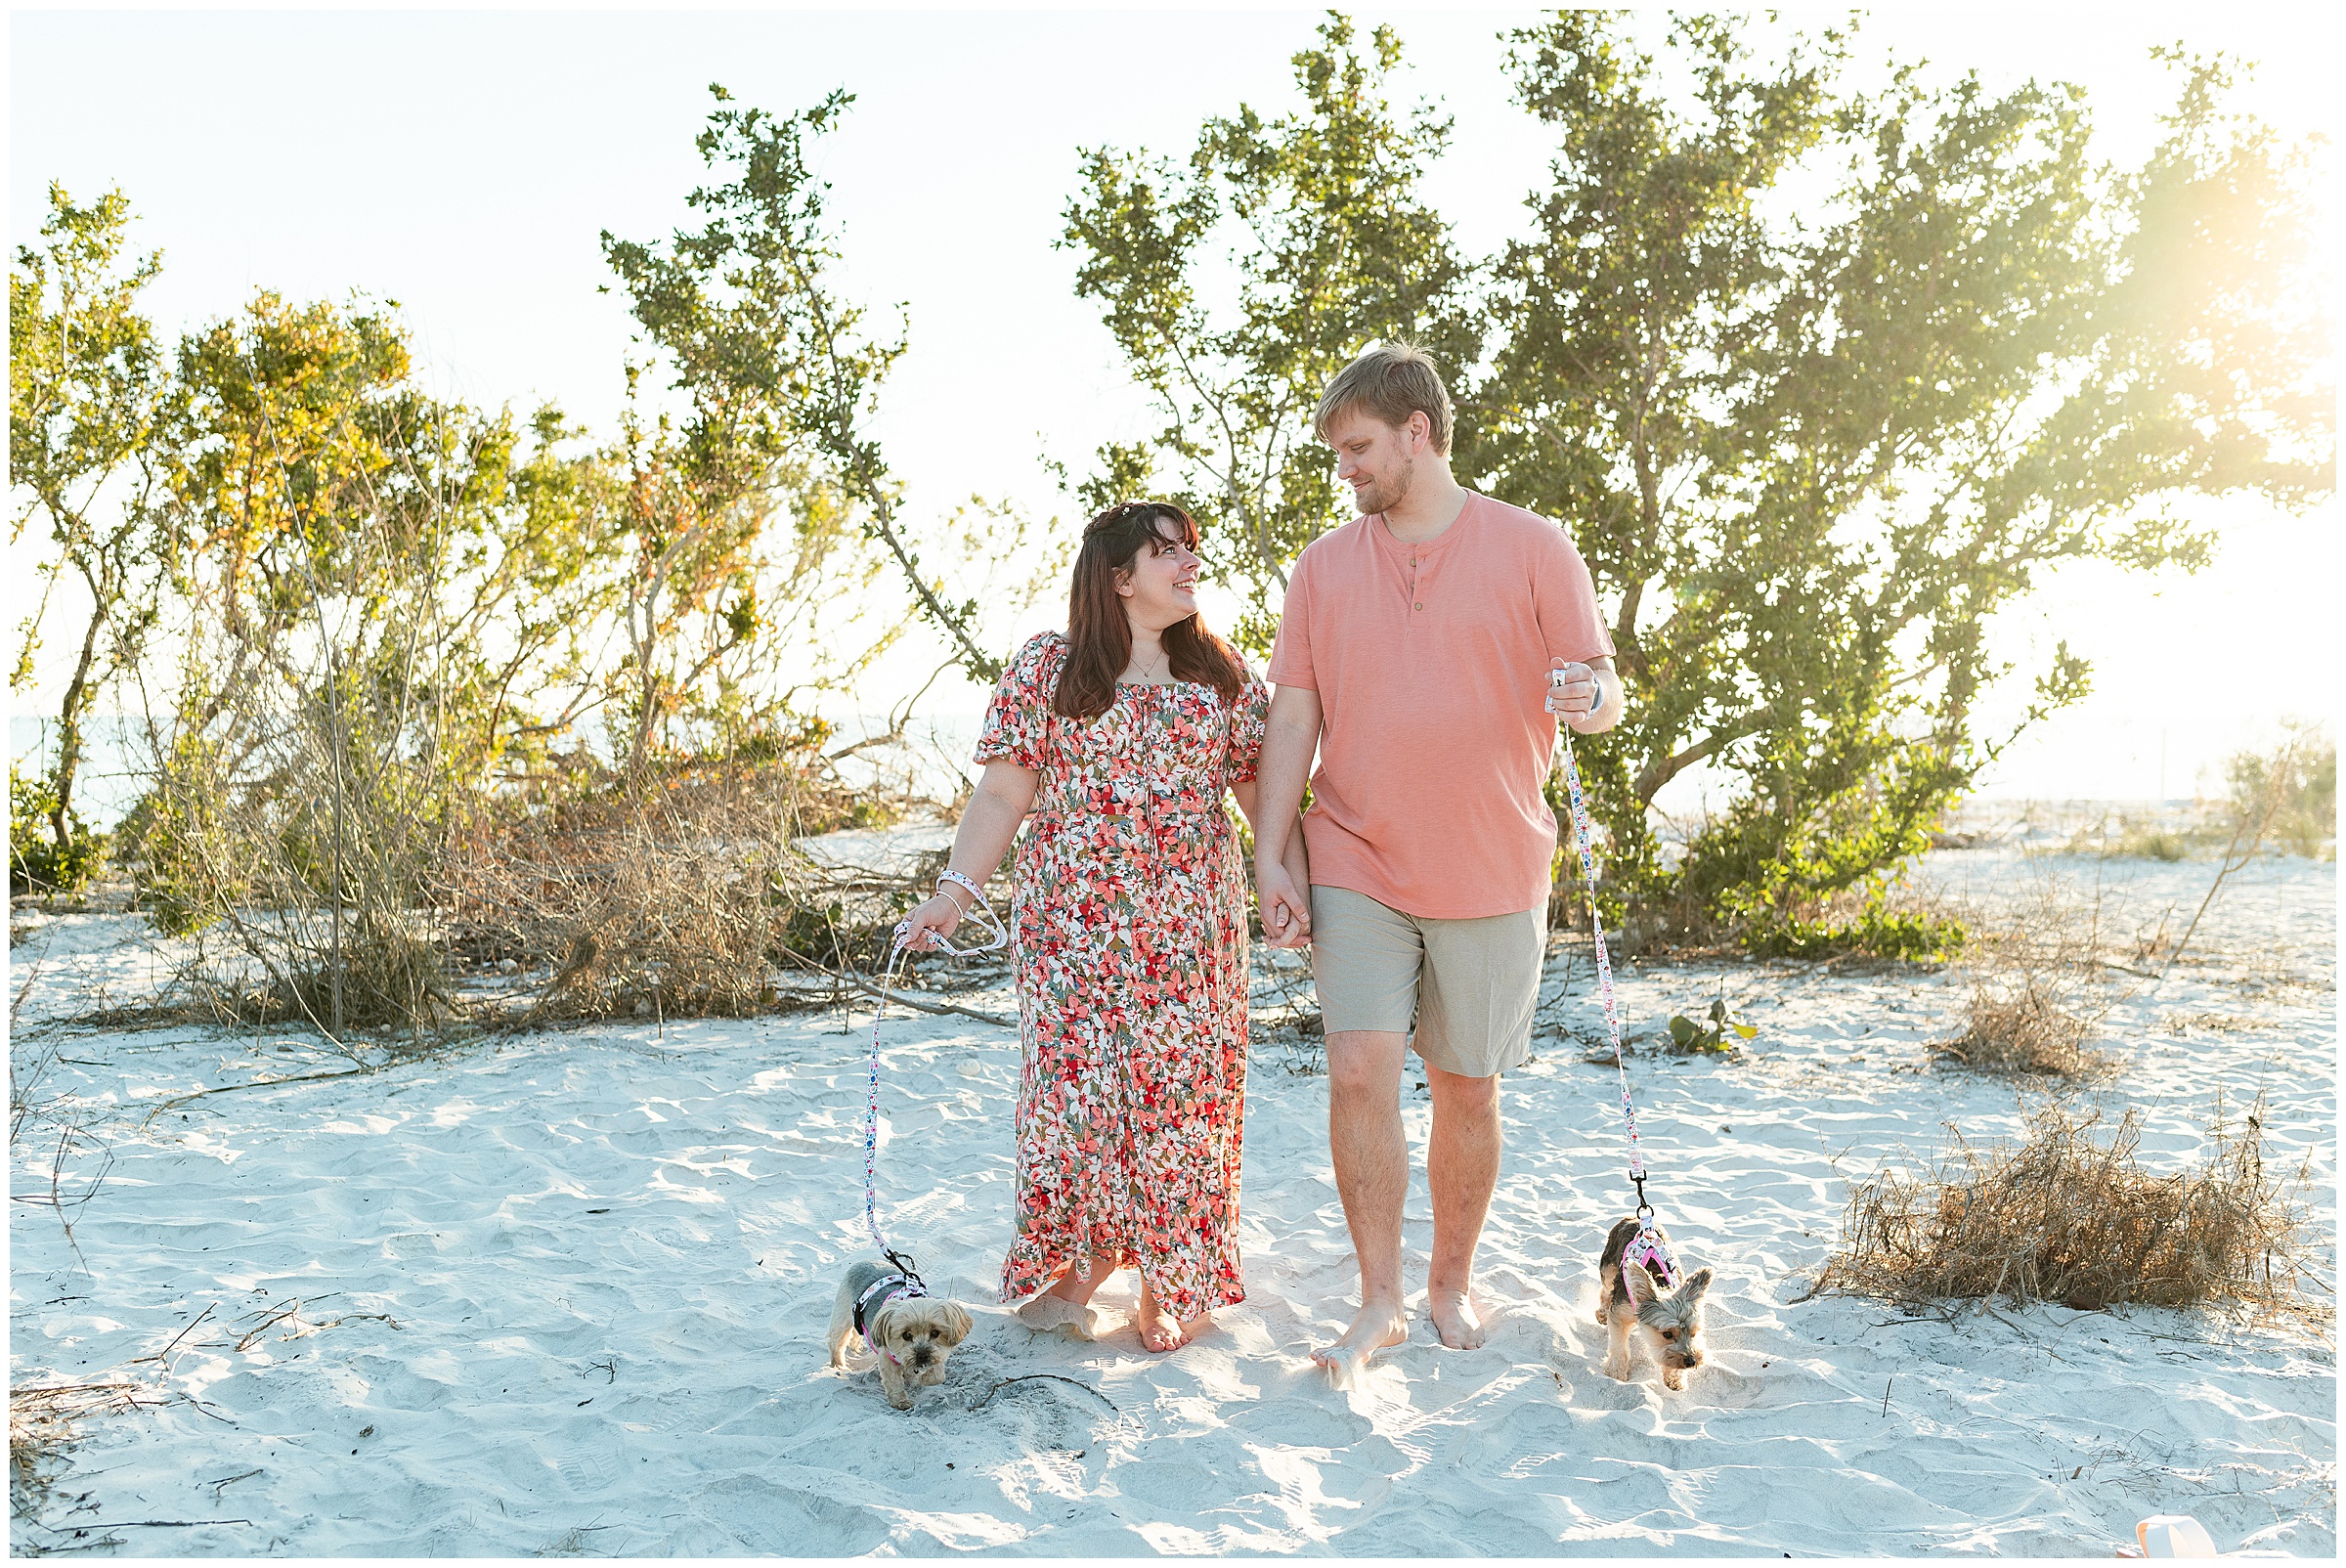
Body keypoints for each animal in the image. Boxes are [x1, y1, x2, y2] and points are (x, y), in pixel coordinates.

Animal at [825, 1258, 971, 1408]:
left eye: (935, 1333)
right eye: (906, 1335)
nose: (922, 1355)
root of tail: (865, 1260)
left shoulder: (937, 1354)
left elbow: (937, 1375)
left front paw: (924, 1378)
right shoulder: (886, 1357)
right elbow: (893, 1381)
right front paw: (900, 1401)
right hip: (843, 1314)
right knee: (837, 1341)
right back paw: (839, 1365)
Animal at [1604, 1211, 1716, 1389]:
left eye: (1693, 1332)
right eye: (1667, 1334)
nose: (1691, 1361)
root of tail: (1634, 1218)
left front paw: (1675, 1377)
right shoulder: (1620, 1311)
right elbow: (1618, 1344)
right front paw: (1616, 1371)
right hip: (1608, 1267)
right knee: (1605, 1288)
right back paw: (1601, 1312)